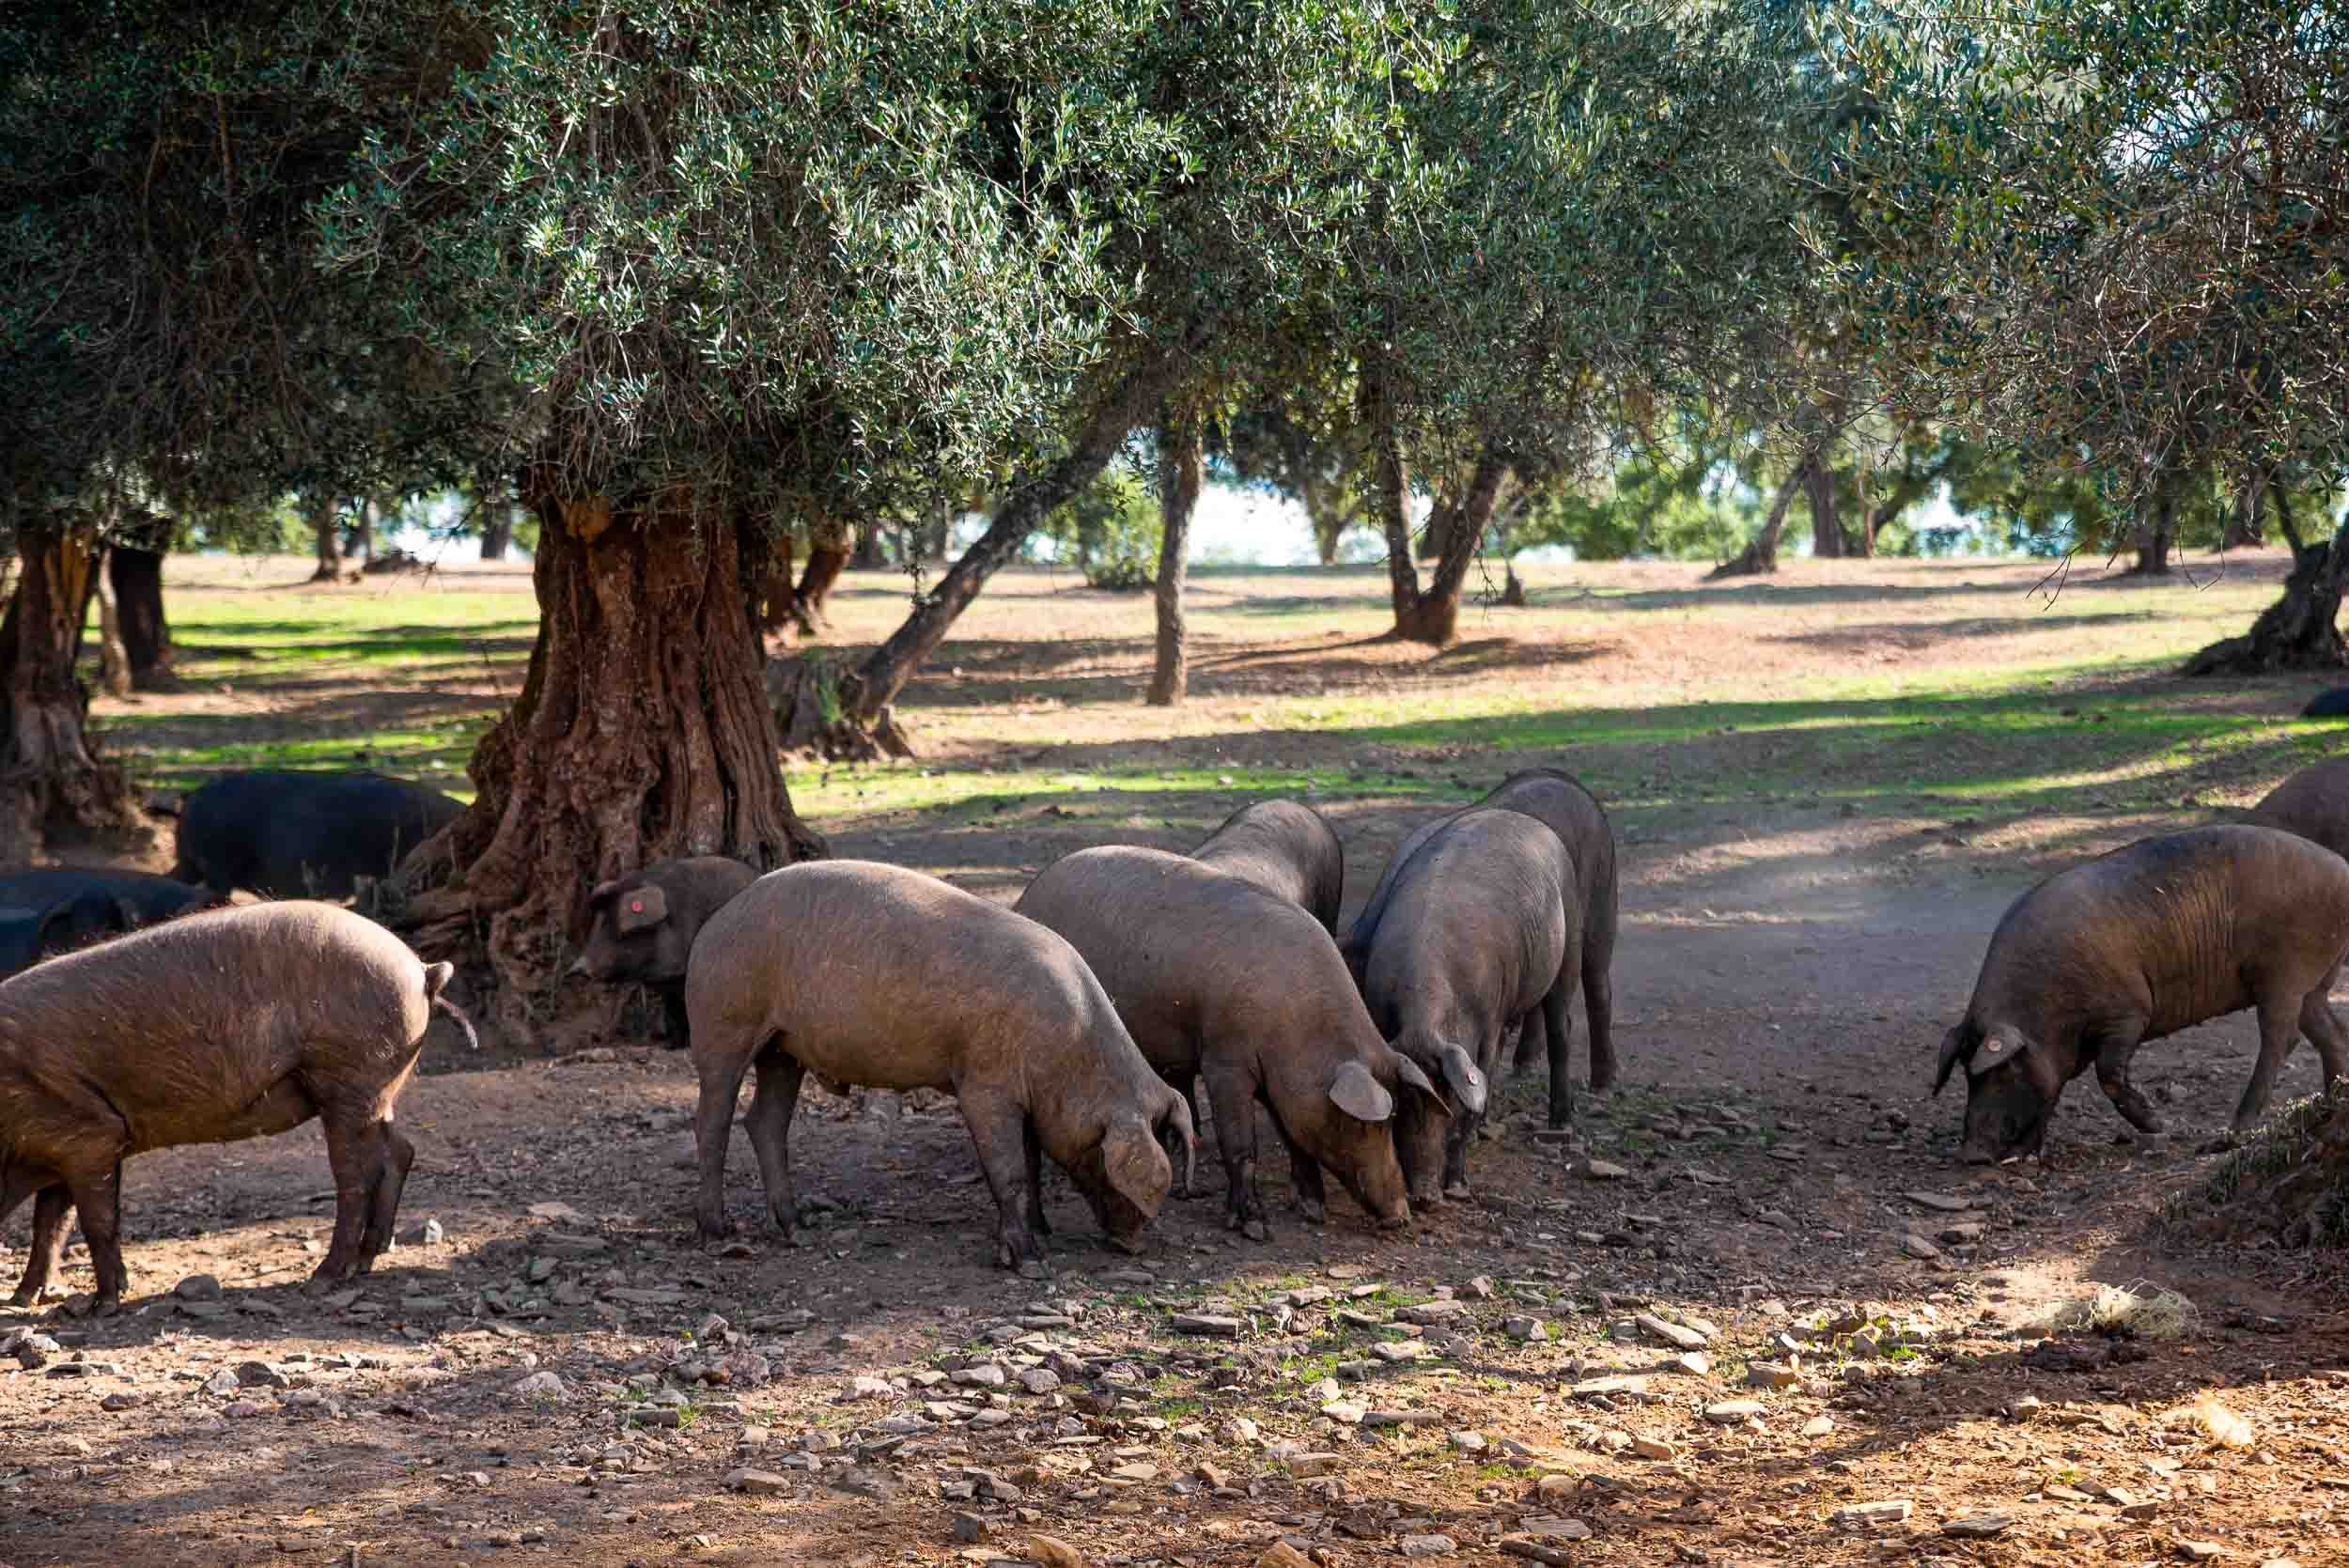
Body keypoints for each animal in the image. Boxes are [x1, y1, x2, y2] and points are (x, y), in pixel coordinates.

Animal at [0, 902, 476, 1311]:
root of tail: (422, 969)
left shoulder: (90, 1135)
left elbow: (95, 1222)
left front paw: (101, 1307)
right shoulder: (65, 1150)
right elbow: (50, 1224)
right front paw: (23, 1299)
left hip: (349, 1081)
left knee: (355, 1177)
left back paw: (323, 1278)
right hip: (377, 1091)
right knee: (399, 1151)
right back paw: (365, 1261)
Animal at [683, 860, 1195, 1276]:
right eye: (1107, 1159)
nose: (1133, 1245)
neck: (1070, 1053)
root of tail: (713, 924)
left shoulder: (1031, 1099)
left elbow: (1030, 1161)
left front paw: (1044, 1231)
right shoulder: (984, 1084)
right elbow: (1009, 1169)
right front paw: (1030, 1262)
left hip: (784, 1048)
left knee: (765, 1122)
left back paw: (797, 1227)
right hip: (722, 1021)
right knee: (712, 1121)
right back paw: (717, 1233)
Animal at [1015, 846, 1443, 1239]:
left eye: (1395, 1118)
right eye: (1368, 1124)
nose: (1401, 1215)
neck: (1299, 1028)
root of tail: (1028, 894)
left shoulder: (1278, 1081)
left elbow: (1294, 1137)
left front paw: (1312, 1210)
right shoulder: (1224, 1060)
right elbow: (1240, 1145)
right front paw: (1254, 1227)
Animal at [1351, 808, 1568, 1204]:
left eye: (1447, 1097)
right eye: (1401, 1106)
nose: (1423, 1195)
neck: (1424, 1022)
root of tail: (1525, 818)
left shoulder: (1490, 1020)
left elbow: (1481, 1080)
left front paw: (1456, 1187)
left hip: (1570, 937)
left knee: (1561, 1026)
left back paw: (1562, 1124)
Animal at [1933, 825, 2349, 1163]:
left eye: (2003, 1070)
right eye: (1966, 1074)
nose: (1971, 1154)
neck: (2046, 1011)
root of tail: (2342, 868)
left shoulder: (2129, 1012)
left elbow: (2109, 1074)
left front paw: (2164, 1126)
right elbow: (2052, 1091)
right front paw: (2024, 1154)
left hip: (2284, 972)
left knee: (2281, 1039)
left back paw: (2226, 1138)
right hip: (2315, 980)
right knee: (2331, 1032)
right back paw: (2331, 1101)